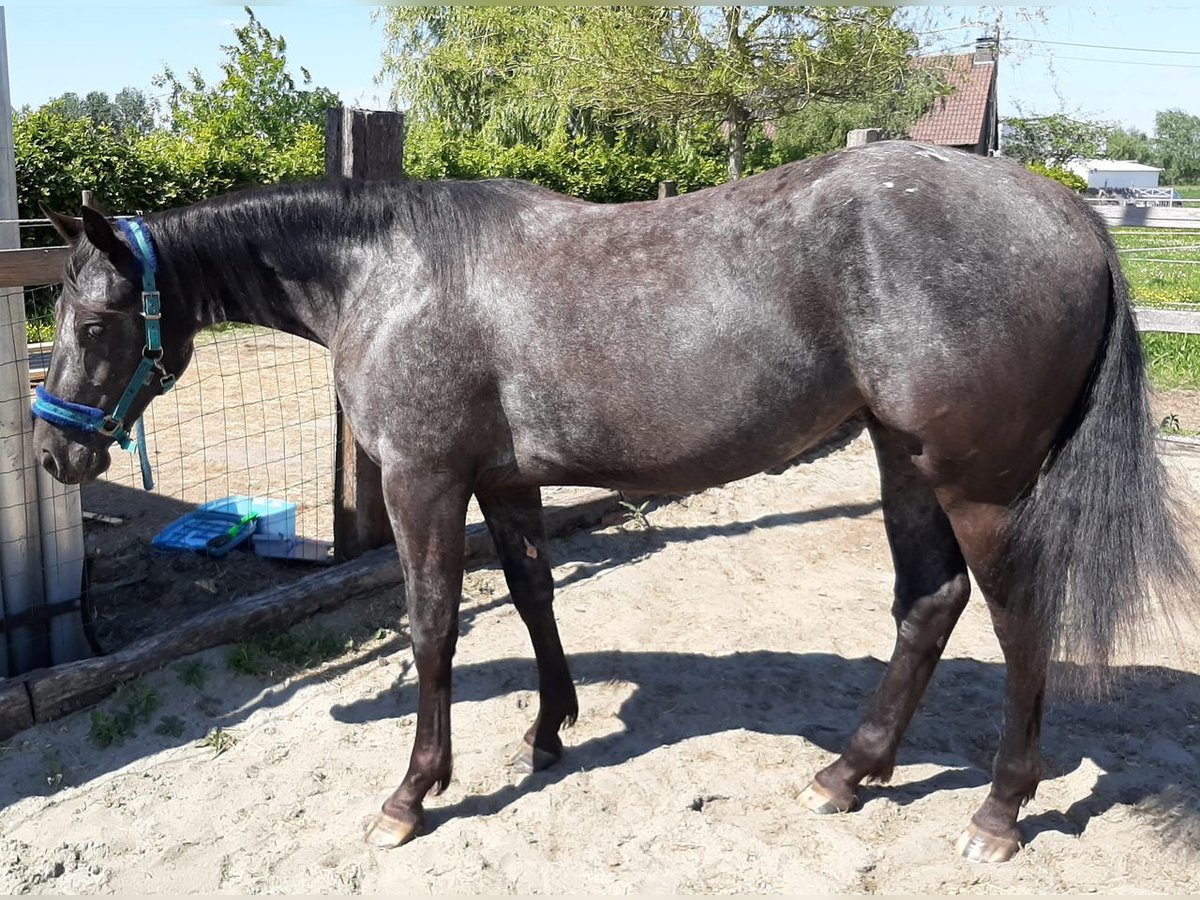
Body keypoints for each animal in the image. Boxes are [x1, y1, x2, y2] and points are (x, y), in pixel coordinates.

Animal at [32, 142, 1195, 868]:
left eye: (92, 322)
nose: (51, 451)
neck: (392, 275)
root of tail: (1068, 211)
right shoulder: (503, 480)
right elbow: (535, 597)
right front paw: (548, 731)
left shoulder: (423, 480)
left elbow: (434, 626)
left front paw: (413, 793)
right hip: (902, 462)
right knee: (929, 605)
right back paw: (848, 775)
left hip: (976, 484)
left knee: (1020, 620)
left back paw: (998, 813)